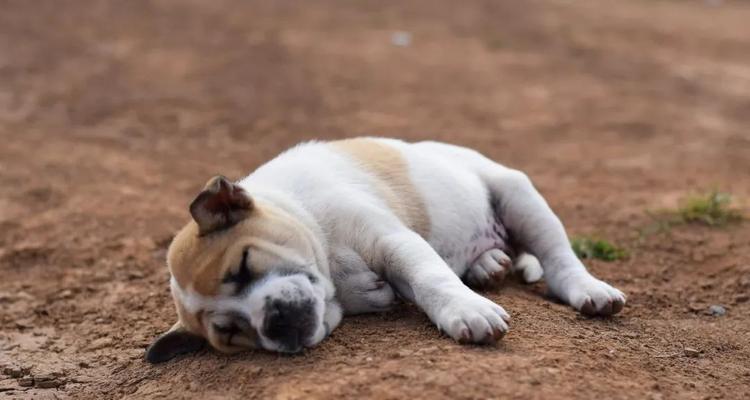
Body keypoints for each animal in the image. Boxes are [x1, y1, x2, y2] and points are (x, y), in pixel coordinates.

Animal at [144, 138, 624, 362]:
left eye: (242, 267)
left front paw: (467, 311)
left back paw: (589, 290)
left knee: (560, 260)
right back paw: (487, 265)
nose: (274, 322)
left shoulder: (391, 240)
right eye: (230, 332)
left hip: (518, 195)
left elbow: (431, 278)